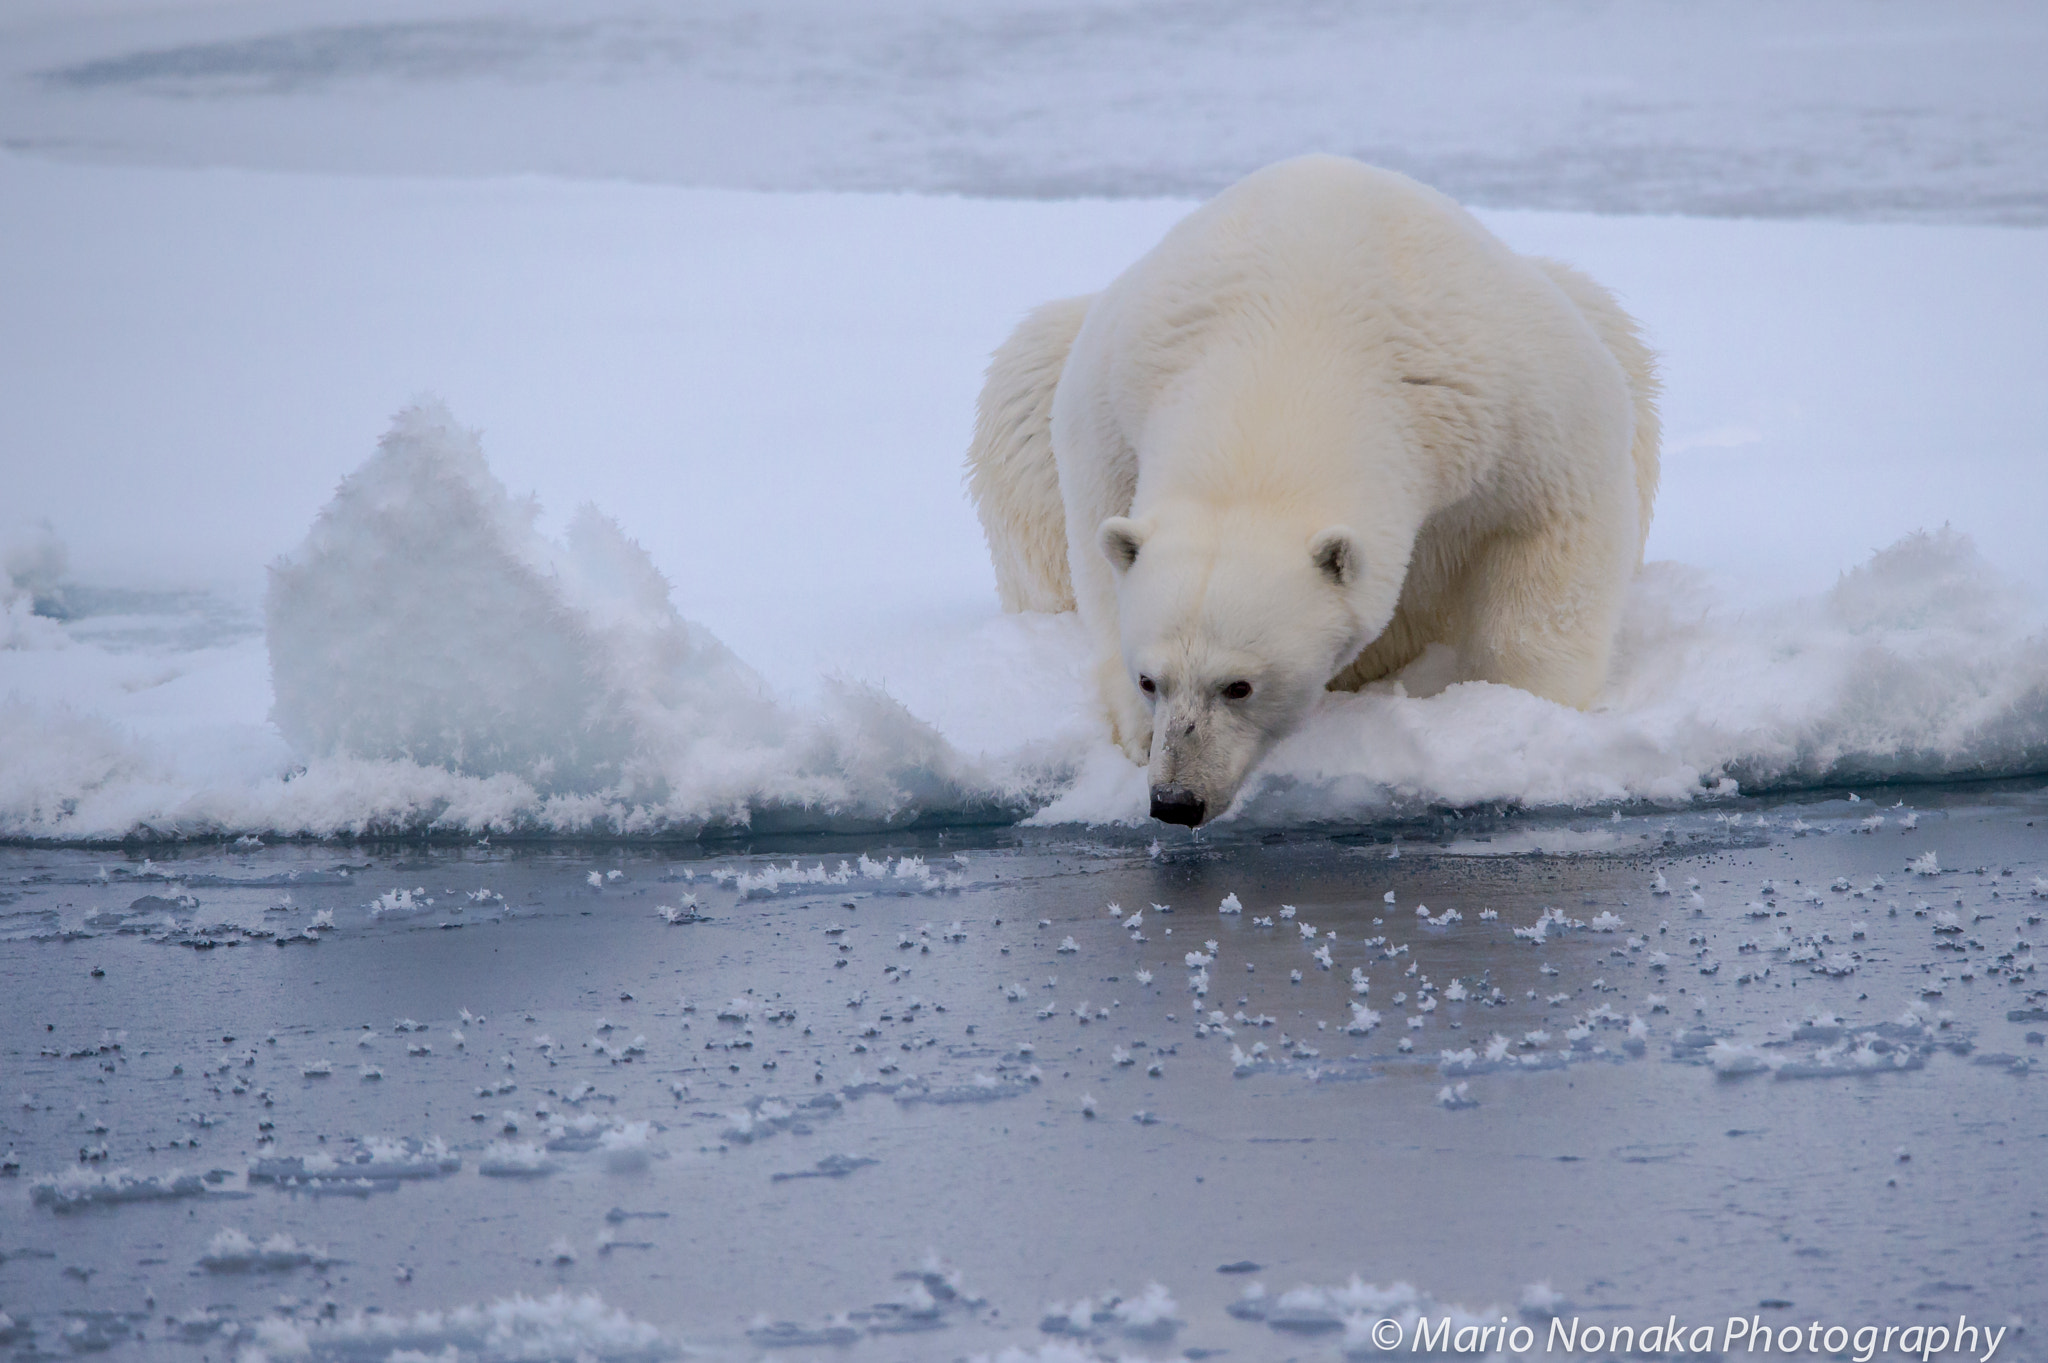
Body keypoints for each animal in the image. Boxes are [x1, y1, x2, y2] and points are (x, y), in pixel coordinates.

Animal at [967, 155, 1660, 827]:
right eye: (1150, 680)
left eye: (1239, 685)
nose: (1176, 802)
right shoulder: (1114, 394)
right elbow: (1097, 547)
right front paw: (1136, 738)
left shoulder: (1504, 395)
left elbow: (1554, 531)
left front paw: (1517, 712)